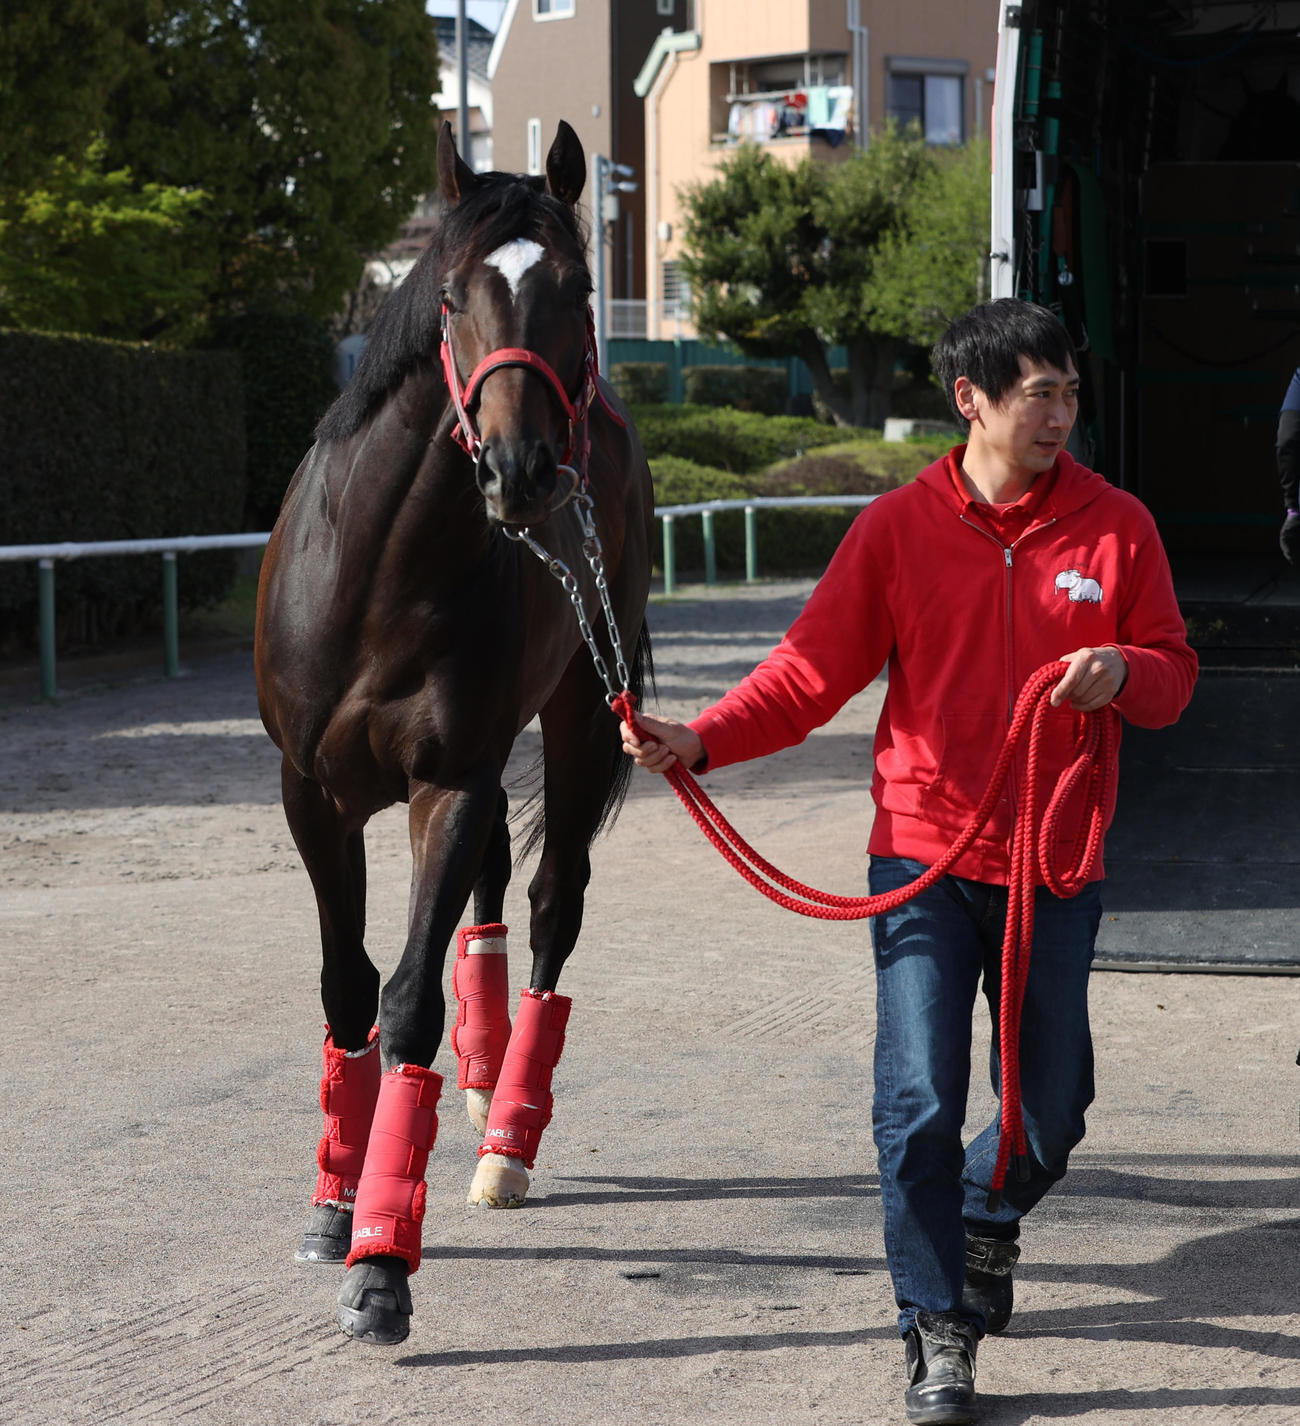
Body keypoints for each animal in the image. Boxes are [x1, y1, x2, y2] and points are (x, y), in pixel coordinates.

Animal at [254, 120, 654, 1346]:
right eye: (450, 296)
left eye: (577, 288)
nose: (522, 470)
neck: (377, 578)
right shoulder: (311, 795)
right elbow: (347, 989)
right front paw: (335, 1202)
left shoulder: (454, 780)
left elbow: (406, 1004)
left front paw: (382, 1265)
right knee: (489, 894)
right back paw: (481, 1084)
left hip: (578, 716)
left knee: (551, 902)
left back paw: (506, 1137)